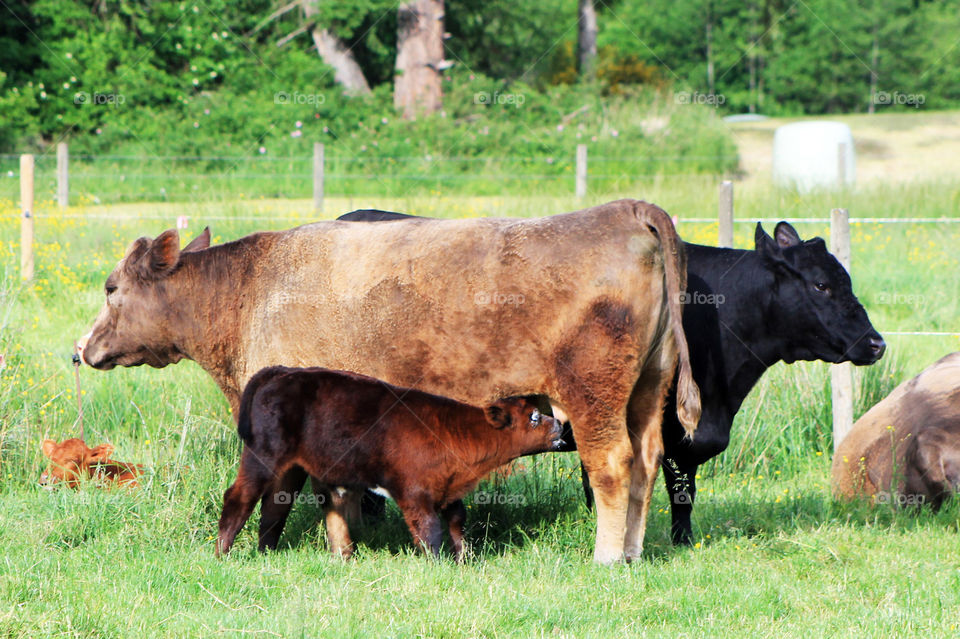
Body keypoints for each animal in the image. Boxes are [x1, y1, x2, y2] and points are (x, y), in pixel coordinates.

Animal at [216, 368, 564, 564]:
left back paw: (276, 554)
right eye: (534, 417)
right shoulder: (414, 493)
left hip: (292, 467)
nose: (561, 426)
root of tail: (282, 371)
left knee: (276, 506)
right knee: (239, 498)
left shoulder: (448, 490)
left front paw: (464, 559)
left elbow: (456, 523)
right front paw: (438, 565)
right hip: (263, 455)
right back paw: (223, 554)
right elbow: (429, 531)